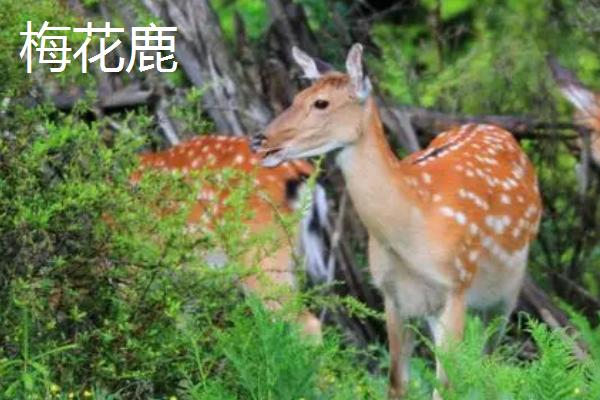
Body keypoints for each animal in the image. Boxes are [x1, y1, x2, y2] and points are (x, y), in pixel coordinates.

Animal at [253, 43, 544, 396]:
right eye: (297, 97)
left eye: (321, 103)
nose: (260, 139)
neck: (412, 227)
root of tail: (499, 130)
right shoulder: (393, 296)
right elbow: (397, 383)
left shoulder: (456, 286)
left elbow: (445, 387)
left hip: (506, 292)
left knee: (490, 362)